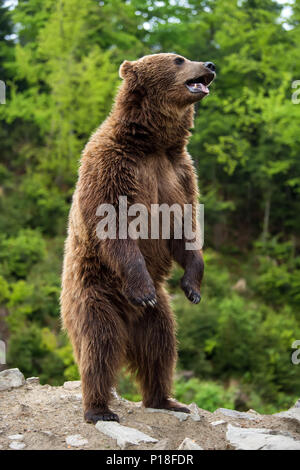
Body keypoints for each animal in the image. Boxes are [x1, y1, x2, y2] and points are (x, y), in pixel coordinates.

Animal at [60, 52, 216, 422]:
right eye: (178, 60)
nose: (210, 65)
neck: (152, 144)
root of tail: (129, 322)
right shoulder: (112, 167)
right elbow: (114, 227)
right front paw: (143, 289)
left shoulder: (179, 174)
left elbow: (185, 227)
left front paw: (193, 286)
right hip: (94, 293)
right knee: (99, 345)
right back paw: (99, 408)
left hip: (157, 314)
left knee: (161, 346)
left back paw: (166, 399)